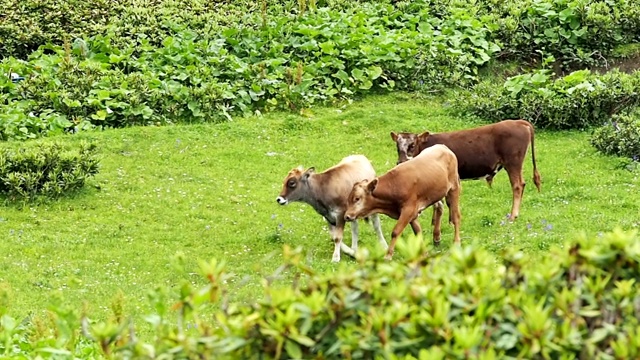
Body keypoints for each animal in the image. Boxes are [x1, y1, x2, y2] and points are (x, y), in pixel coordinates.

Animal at [390, 119, 540, 219]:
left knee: (517, 185)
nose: (401, 162)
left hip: (513, 163)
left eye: (412, 145)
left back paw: (513, 215)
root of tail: (519, 122)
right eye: (397, 146)